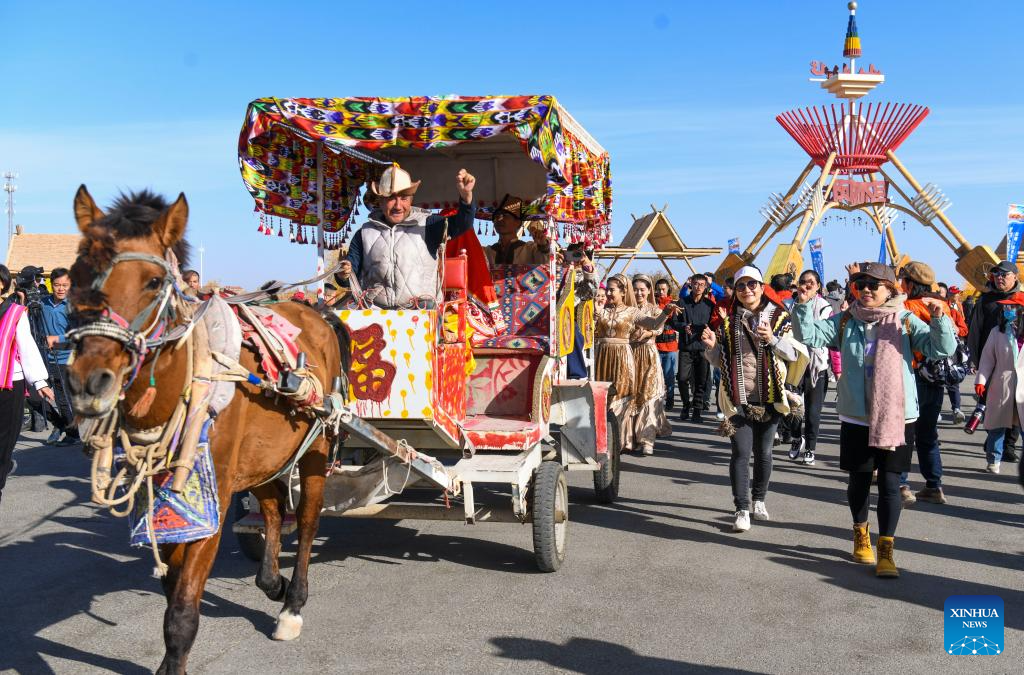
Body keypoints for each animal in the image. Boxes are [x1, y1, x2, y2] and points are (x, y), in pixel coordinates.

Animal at [68, 187, 350, 675]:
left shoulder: (208, 501)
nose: (89, 380)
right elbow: (172, 590)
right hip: (267, 456)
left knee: (308, 520)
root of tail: (315, 310)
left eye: (152, 282)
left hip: (316, 446)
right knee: (273, 508)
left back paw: (292, 603)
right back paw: (271, 581)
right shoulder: (169, 499)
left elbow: (181, 612)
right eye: (76, 274)